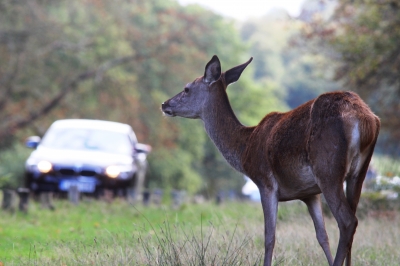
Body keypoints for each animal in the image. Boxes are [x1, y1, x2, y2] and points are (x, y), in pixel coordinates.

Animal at [161, 55, 380, 264]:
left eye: (186, 88)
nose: (164, 104)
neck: (244, 149)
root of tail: (366, 119)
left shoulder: (265, 182)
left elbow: (269, 237)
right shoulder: (309, 193)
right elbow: (322, 236)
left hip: (328, 170)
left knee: (347, 221)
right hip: (359, 172)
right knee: (351, 221)